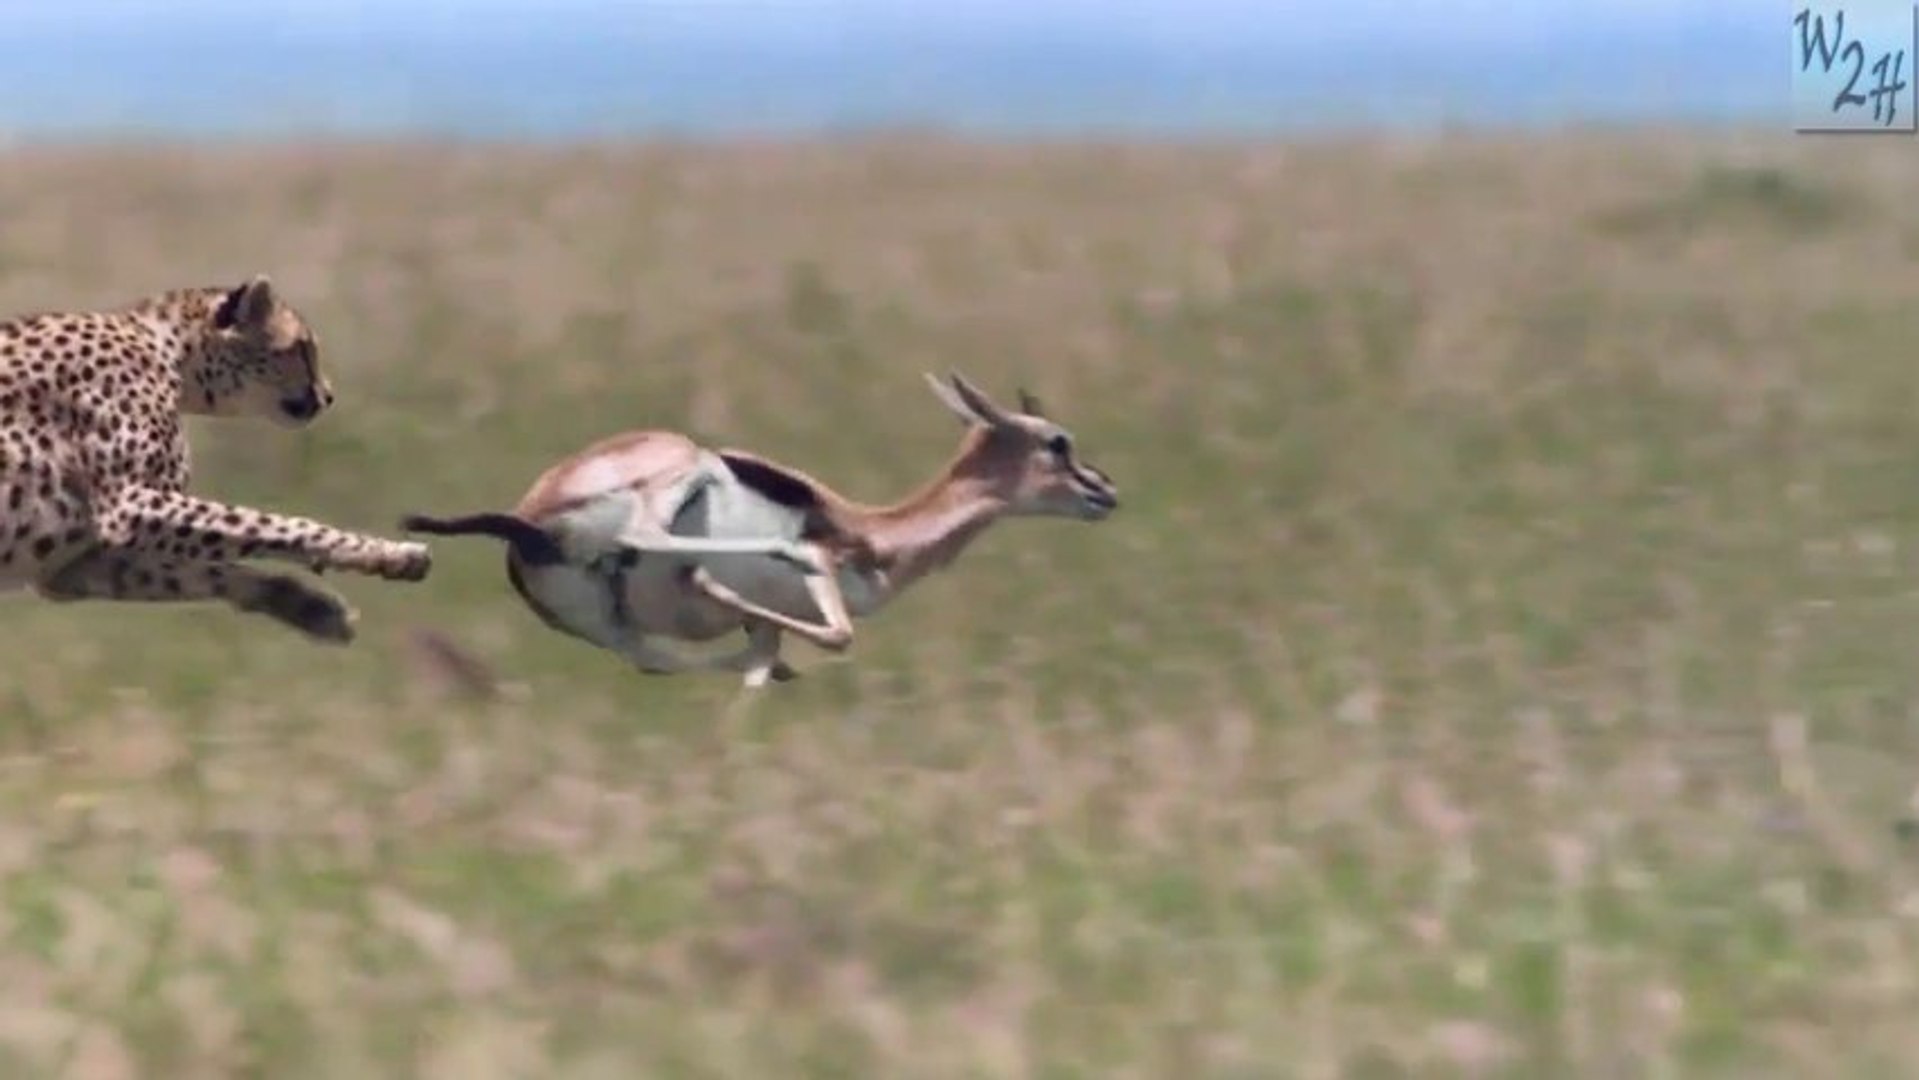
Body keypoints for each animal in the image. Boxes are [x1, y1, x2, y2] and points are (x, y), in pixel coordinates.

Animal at [0, 274, 431, 644]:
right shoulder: (128, 507)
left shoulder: (77, 566)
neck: (166, 349)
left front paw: (310, 607)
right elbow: (274, 525)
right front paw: (389, 553)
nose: (328, 395)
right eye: (301, 348)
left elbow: (208, 571)